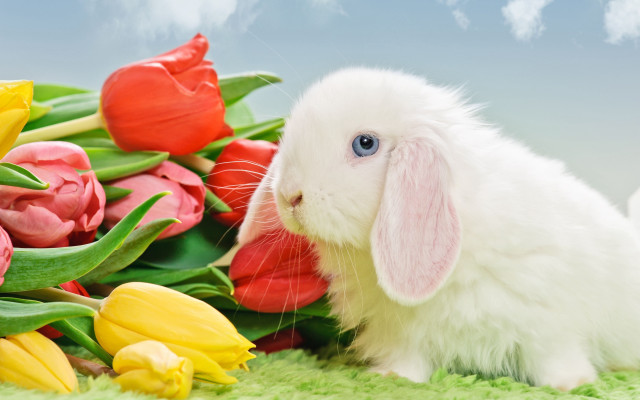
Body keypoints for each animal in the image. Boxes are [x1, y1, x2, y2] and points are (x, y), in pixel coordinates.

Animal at [237, 67, 640, 391]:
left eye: (365, 144)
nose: (289, 196)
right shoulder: (402, 331)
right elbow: (408, 359)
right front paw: (392, 377)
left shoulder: (550, 323)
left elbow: (554, 357)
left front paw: (571, 384)